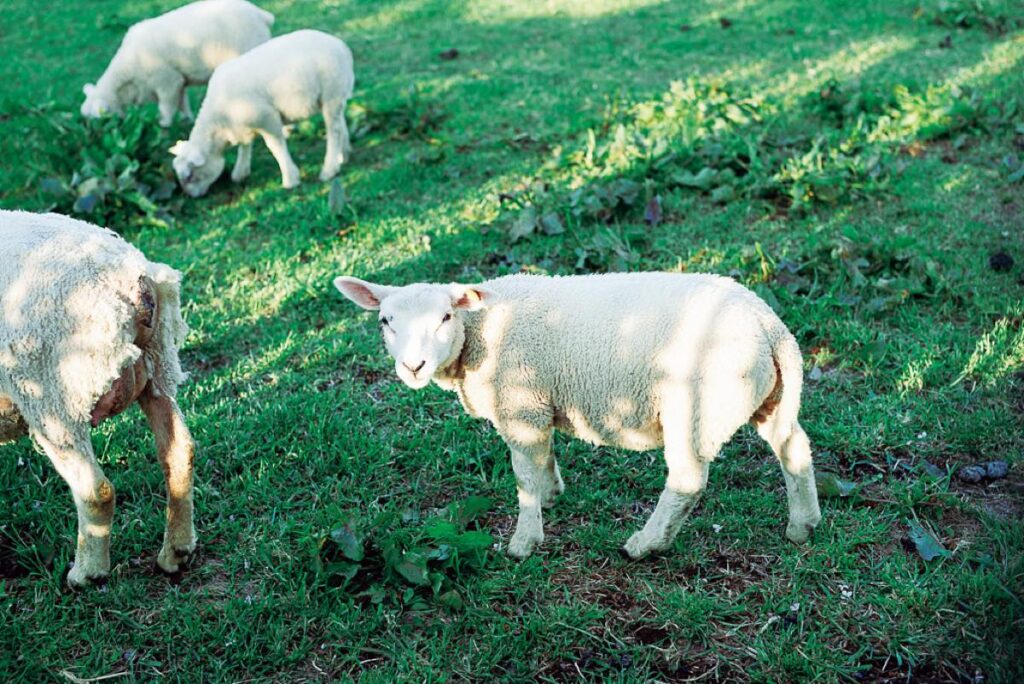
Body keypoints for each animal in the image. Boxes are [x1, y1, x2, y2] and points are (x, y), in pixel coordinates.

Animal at [0, 209, 194, 589]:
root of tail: (126, 275)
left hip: (52, 396)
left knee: (96, 490)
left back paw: (86, 573)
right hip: (157, 366)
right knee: (179, 451)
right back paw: (175, 553)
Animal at [79, 0, 274, 127]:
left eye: (99, 120)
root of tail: (260, 14)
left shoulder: (167, 82)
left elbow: (166, 106)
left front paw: (164, 124)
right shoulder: (178, 81)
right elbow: (182, 103)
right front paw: (186, 119)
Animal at [169, 30, 354, 196]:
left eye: (189, 176)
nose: (192, 196)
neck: (220, 121)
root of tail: (341, 46)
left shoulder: (267, 119)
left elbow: (276, 148)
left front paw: (290, 179)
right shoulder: (242, 124)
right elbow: (245, 146)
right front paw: (240, 172)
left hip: (331, 93)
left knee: (334, 130)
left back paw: (329, 169)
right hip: (336, 95)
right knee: (341, 122)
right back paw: (343, 155)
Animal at [335, 272, 823, 561]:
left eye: (445, 317)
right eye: (384, 321)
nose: (412, 366)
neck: (481, 330)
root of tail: (770, 325)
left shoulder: (520, 405)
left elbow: (523, 476)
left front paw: (524, 542)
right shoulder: (537, 404)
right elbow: (544, 459)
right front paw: (552, 495)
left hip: (695, 404)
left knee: (687, 480)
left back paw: (645, 544)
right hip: (768, 395)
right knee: (793, 448)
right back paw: (802, 526)